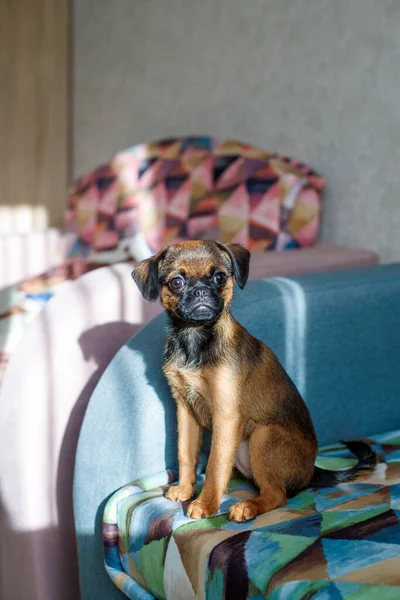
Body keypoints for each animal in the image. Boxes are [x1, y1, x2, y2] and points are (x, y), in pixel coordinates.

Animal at [133, 241, 376, 524]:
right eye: (177, 282)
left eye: (219, 277)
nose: (201, 291)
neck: (195, 337)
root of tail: (312, 471)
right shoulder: (185, 410)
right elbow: (185, 453)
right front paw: (185, 489)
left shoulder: (226, 414)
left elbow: (215, 463)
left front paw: (205, 504)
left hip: (264, 434)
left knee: (277, 495)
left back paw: (247, 506)